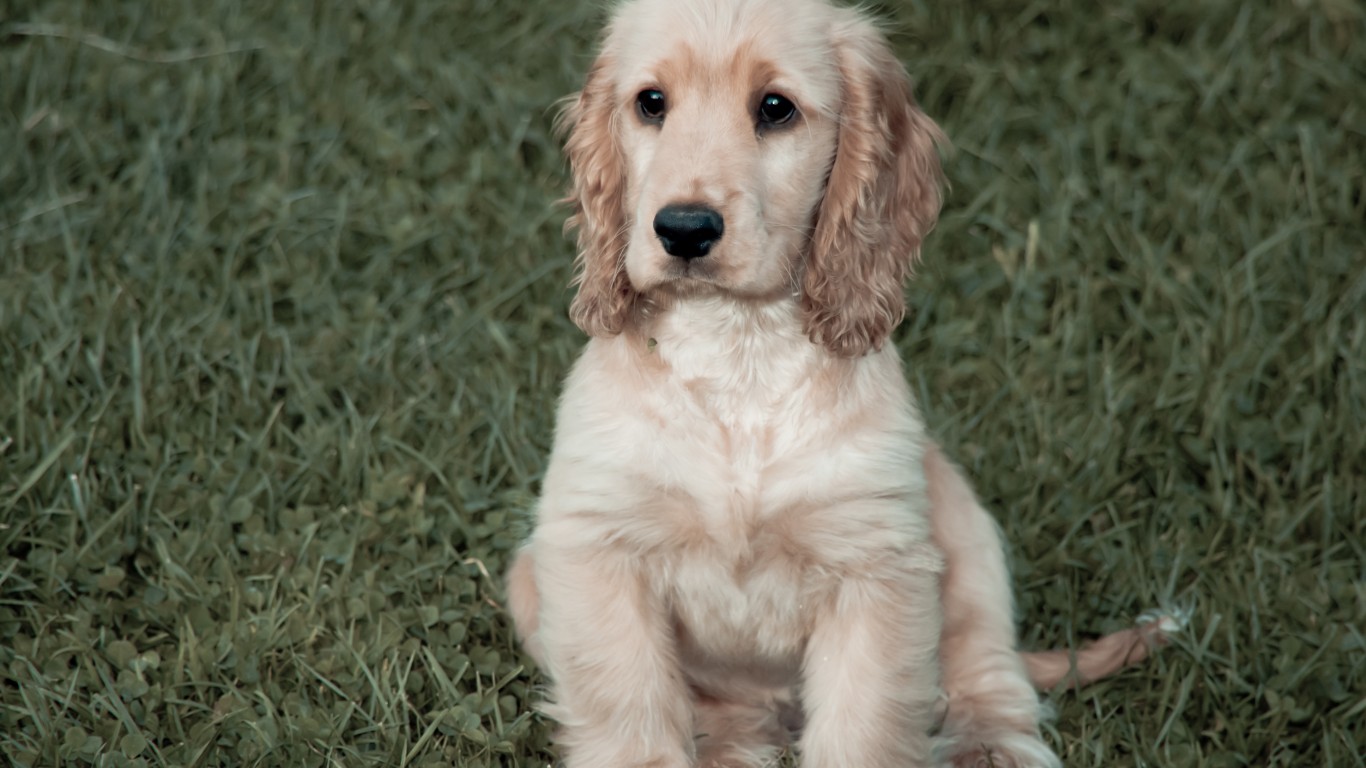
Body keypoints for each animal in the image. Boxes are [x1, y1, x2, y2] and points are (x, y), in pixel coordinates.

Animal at [508, 1, 1169, 765]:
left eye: (775, 108)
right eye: (651, 103)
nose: (684, 230)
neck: (738, 350)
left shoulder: (876, 563)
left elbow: (865, 725)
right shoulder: (597, 548)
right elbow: (632, 720)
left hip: (966, 539)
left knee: (988, 672)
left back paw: (991, 745)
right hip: (529, 581)